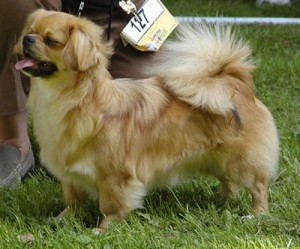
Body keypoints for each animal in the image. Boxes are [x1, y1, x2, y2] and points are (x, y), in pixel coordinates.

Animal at [14, 9, 278, 231]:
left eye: (50, 40)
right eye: (29, 31)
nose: (27, 39)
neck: (69, 99)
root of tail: (232, 81)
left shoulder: (114, 176)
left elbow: (111, 205)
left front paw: (103, 229)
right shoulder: (70, 173)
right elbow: (72, 201)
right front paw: (61, 220)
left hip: (239, 159)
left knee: (257, 186)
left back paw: (256, 214)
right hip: (216, 157)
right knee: (228, 182)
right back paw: (223, 200)